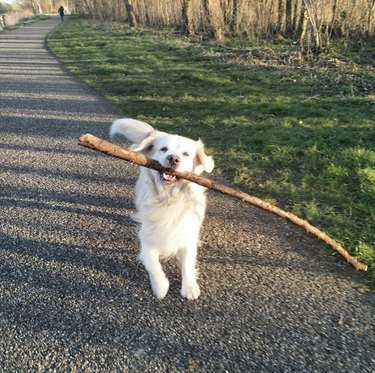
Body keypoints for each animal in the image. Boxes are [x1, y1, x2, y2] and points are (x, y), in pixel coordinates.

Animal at [109, 118, 214, 300]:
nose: (173, 158)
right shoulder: (147, 236)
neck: (168, 198)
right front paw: (160, 286)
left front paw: (190, 286)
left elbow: (188, 262)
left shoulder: (187, 233)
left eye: (186, 154)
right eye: (163, 149)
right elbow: (153, 264)